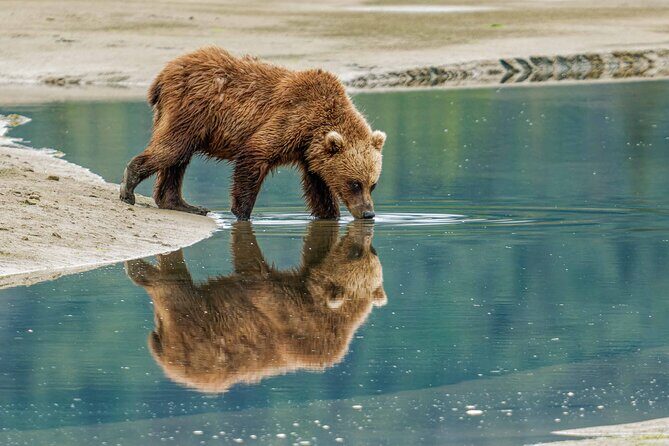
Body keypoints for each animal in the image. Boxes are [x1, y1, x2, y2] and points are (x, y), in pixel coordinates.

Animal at [119, 46, 386, 220]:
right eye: (354, 183)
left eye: (372, 184)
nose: (368, 213)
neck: (313, 130)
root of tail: (163, 74)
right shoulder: (290, 120)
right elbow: (255, 153)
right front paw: (243, 213)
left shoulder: (310, 156)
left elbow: (319, 190)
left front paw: (330, 214)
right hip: (191, 110)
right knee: (173, 149)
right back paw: (130, 187)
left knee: (178, 159)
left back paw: (182, 204)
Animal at [124, 221, 386, 393]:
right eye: (356, 252)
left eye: (372, 251)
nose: (367, 240)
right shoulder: (294, 317)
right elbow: (260, 287)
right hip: (193, 325)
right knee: (173, 290)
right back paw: (140, 271)